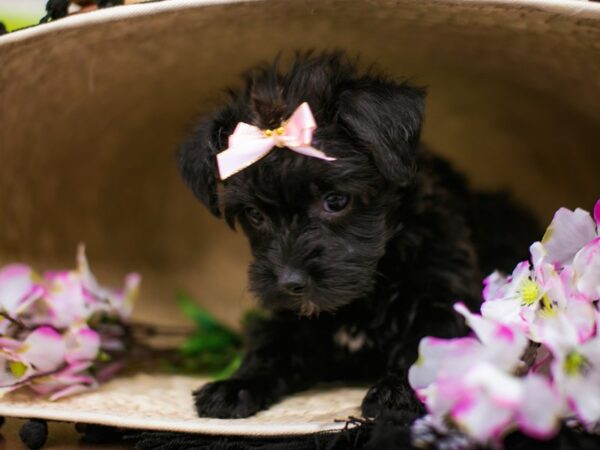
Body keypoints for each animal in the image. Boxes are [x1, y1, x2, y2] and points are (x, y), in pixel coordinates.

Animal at [177, 51, 536, 420]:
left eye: (335, 201)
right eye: (255, 215)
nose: (290, 282)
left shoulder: (443, 296)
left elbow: (425, 344)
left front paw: (396, 393)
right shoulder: (293, 319)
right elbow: (271, 346)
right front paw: (236, 384)